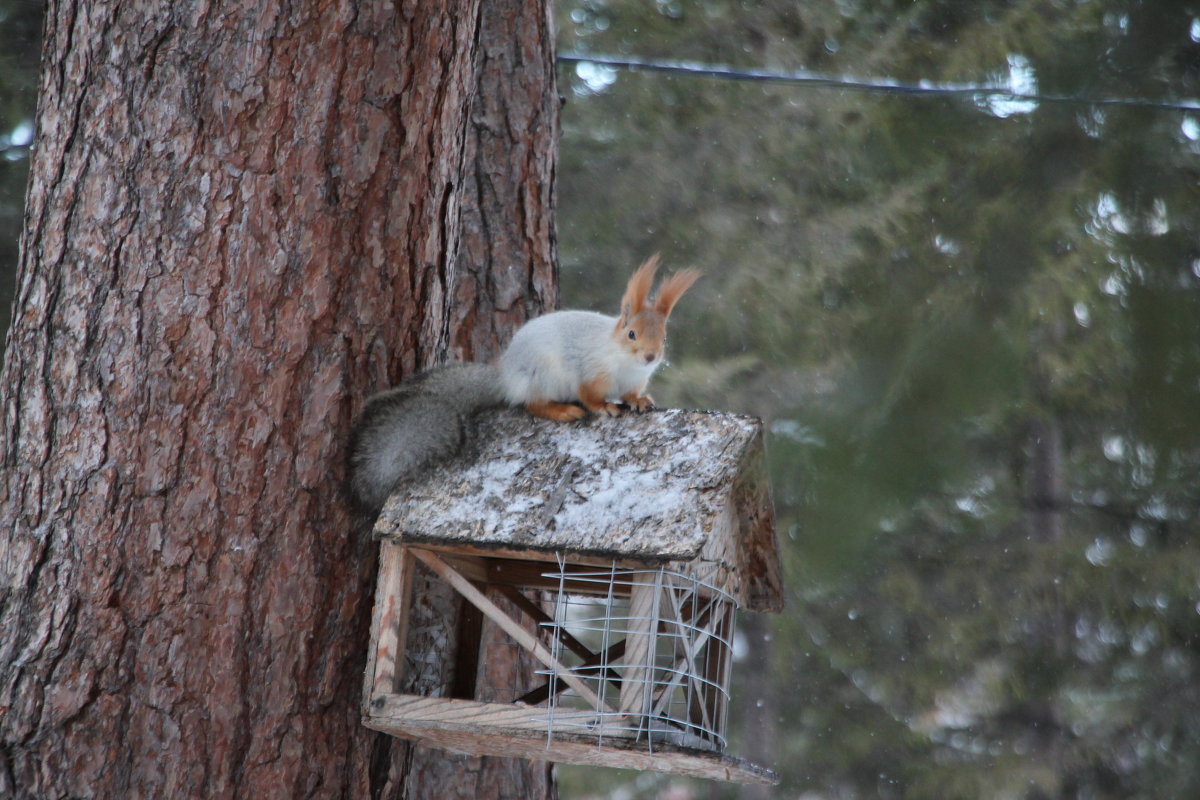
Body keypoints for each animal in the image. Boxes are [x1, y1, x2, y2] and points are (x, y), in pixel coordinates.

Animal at [348, 253, 700, 510]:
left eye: (664, 337)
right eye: (632, 334)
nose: (651, 357)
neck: (626, 363)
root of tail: (506, 376)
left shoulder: (634, 380)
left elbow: (632, 394)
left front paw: (640, 401)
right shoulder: (590, 370)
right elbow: (589, 395)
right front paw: (604, 407)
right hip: (544, 376)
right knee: (533, 405)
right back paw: (562, 411)